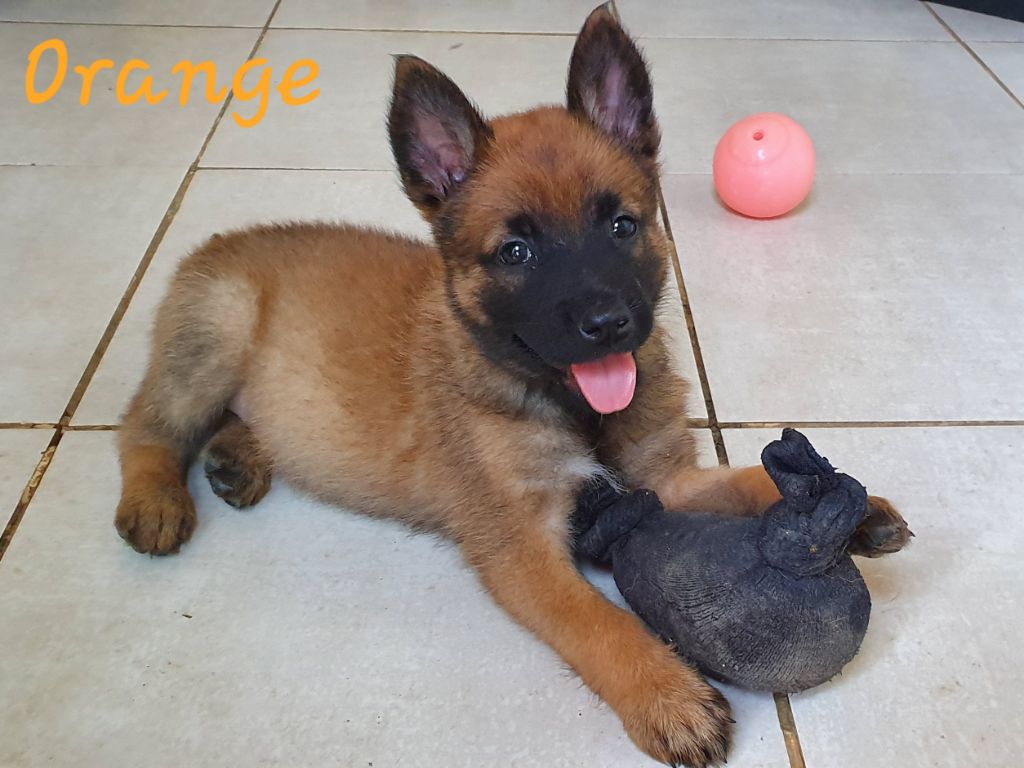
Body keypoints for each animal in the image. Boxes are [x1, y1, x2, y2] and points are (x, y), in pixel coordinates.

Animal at [114, 6, 910, 765]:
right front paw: (669, 699)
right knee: (144, 424)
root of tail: (222, 240)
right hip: (213, 337)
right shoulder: (521, 547)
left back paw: (238, 457)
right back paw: (156, 497)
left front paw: (847, 504)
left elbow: (747, 480)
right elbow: (602, 623)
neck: (566, 401)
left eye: (622, 225)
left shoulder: (667, 480)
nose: (609, 324)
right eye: (517, 251)